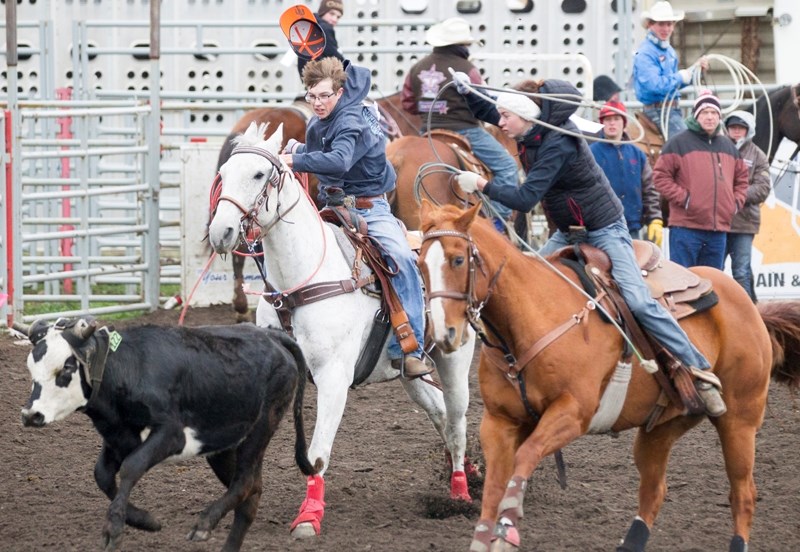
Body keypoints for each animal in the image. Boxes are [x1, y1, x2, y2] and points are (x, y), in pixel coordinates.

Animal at [17, 316, 318, 552]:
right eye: (32, 369)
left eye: (67, 367)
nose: (31, 415)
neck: (129, 367)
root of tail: (271, 335)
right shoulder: (117, 437)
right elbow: (102, 475)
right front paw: (145, 521)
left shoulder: (172, 434)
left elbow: (131, 467)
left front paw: (113, 528)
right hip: (224, 445)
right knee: (251, 492)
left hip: (262, 425)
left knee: (244, 482)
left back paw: (204, 523)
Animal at [209, 122, 478, 540]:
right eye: (222, 173)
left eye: (258, 174)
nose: (220, 231)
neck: (302, 278)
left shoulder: (334, 377)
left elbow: (317, 454)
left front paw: (308, 517)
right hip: (411, 374)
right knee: (440, 414)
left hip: (455, 360)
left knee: (457, 421)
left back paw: (461, 493)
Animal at [416, 202, 800, 552]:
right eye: (419, 263)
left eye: (457, 260)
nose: (443, 334)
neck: (529, 318)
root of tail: (749, 304)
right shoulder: (499, 422)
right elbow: (495, 486)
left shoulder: (573, 413)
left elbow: (526, 456)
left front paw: (508, 528)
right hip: (662, 425)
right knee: (654, 490)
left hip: (740, 421)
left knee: (743, 493)